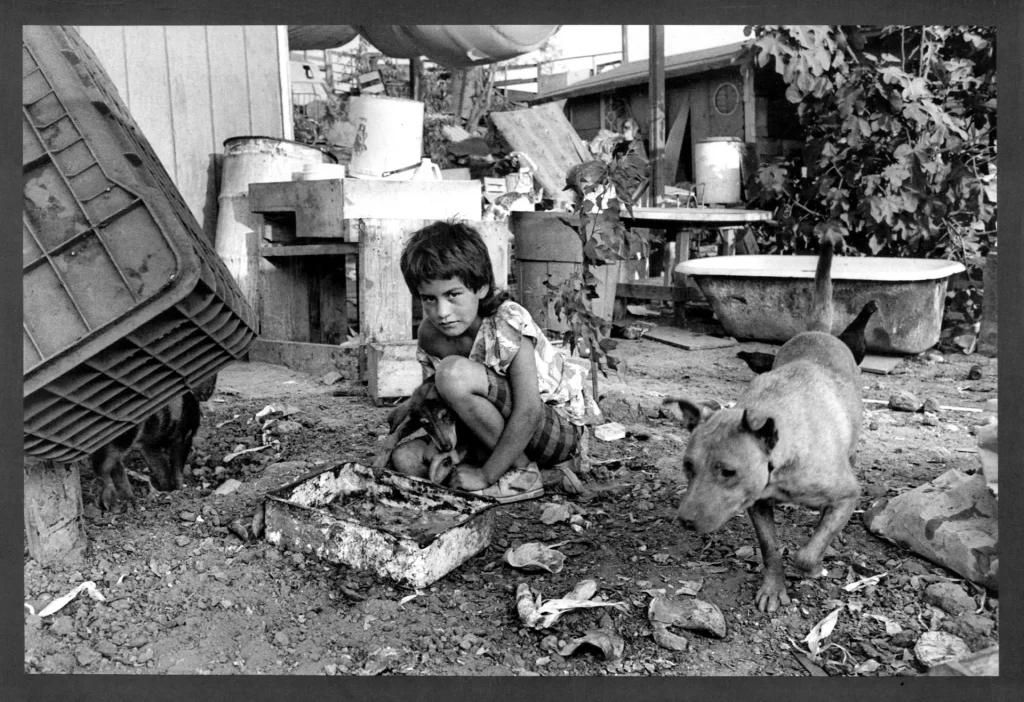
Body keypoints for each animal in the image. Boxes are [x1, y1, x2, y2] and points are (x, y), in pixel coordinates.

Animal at [667, 228, 860, 613]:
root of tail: (819, 331)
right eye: (687, 467)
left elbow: (806, 552)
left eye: (728, 472)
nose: (684, 521)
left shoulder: (848, 495)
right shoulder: (757, 502)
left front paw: (813, 566)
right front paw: (774, 587)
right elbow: (771, 547)